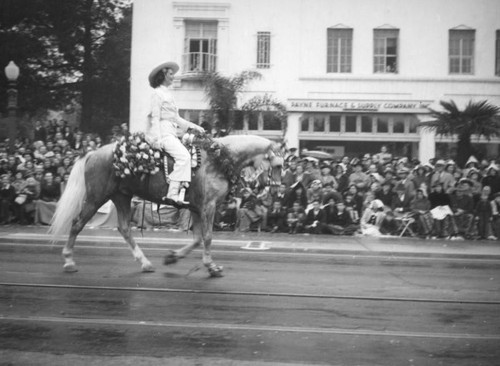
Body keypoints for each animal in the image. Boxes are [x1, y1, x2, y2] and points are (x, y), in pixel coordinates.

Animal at [48, 136, 284, 276]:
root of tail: (92, 153)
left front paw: (173, 257)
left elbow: (198, 239)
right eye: (278, 165)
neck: (219, 160)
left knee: (124, 228)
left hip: (121, 197)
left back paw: (145, 262)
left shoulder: (196, 208)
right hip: (96, 197)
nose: (278, 189)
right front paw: (212, 266)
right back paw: (68, 261)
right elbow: (207, 237)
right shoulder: (208, 207)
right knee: (77, 223)